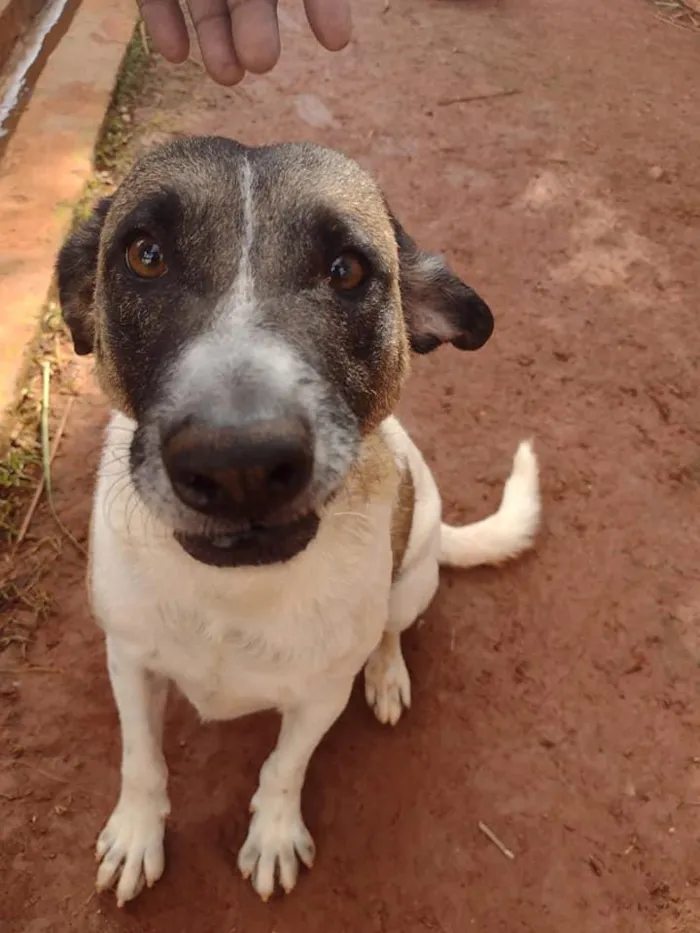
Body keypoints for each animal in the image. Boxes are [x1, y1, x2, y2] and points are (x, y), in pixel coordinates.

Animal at [56, 137, 540, 904]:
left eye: (346, 270)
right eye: (145, 255)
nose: (238, 465)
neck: (234, 594)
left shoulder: (319, 695)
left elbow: (284, 767)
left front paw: (275, 834)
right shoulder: (128, 659)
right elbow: (141, 759)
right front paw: (136, 833)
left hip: (415, 577)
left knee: (390, 629)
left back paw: (387, 673)